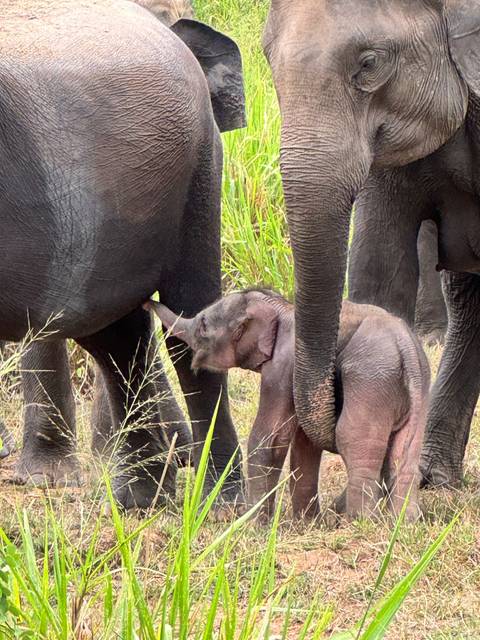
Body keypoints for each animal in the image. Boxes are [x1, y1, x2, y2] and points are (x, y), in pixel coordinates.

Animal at [146, 290, 430, 522]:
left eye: (203, 326)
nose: (146, 302)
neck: (281, 307)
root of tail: (406, 349)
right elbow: (303, 441)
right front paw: (306, 523)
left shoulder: (284, 366)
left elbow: (270, 437)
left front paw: (251, 526)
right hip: (416, 392)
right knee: (404, 454)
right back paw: (403, 522)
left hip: (370, 383)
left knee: (353, 439)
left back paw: (360, 521)